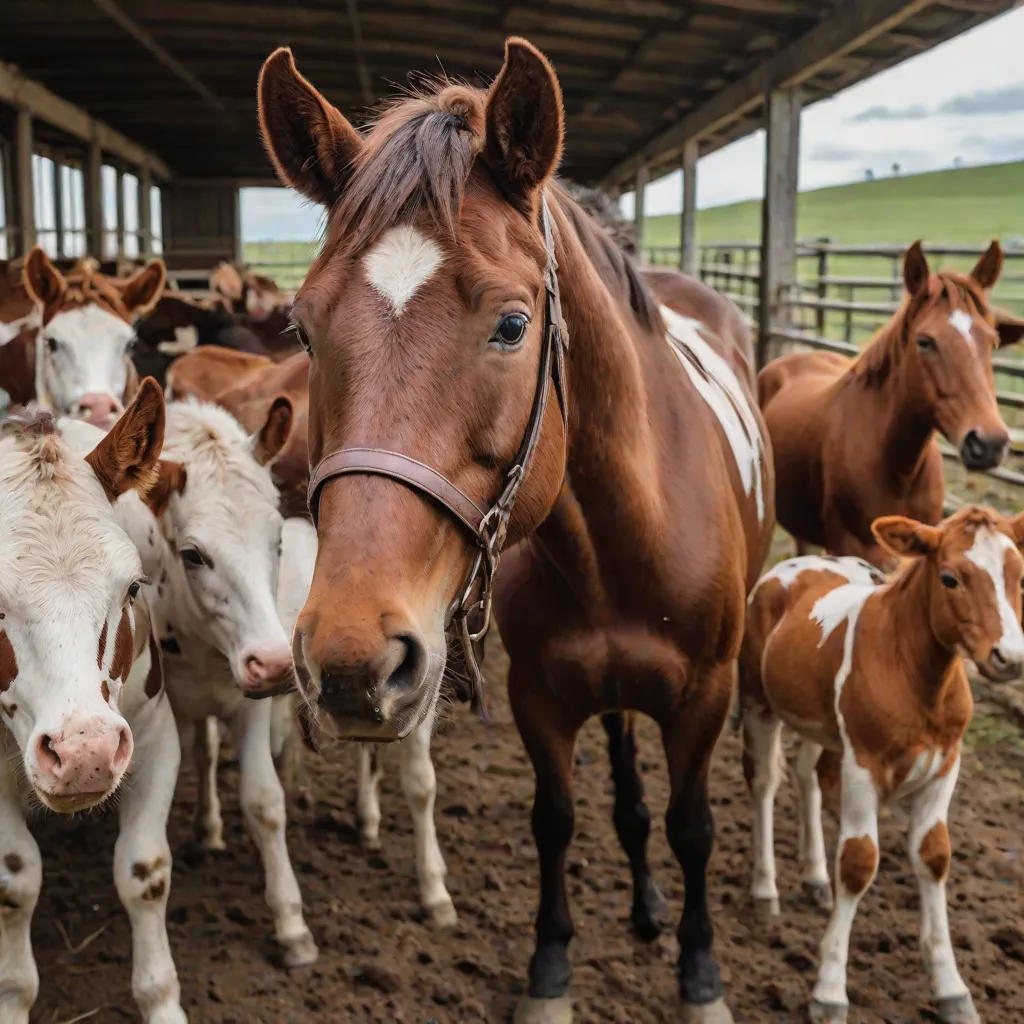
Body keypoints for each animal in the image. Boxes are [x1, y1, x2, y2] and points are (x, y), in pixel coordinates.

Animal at [257, 37, 773, 1023]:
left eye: (511, 324)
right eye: (301, 328)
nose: (351, 658)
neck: (622, 538)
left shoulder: (706, 697)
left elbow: (693, 828)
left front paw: (700, 976)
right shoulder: (540, 695)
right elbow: (557, 821)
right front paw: (551, 971)